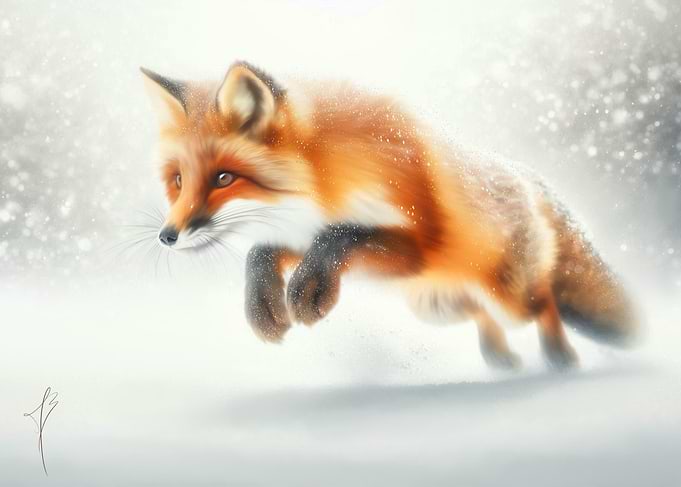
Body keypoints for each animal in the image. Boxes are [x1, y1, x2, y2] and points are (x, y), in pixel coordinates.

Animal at [141, 61, 639, 369]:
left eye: (225, 178)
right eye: (179, 180)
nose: (167, 235)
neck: (325, 182)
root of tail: (526, 176)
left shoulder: (417, 243)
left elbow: (344, 234)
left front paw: (308, 291)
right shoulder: (300, 237)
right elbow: (261, 251)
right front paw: (265, 308)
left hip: (508, 294)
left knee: (545, 302)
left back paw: (559, 357)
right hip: (434, 305)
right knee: (481, 313)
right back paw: (499, 358)